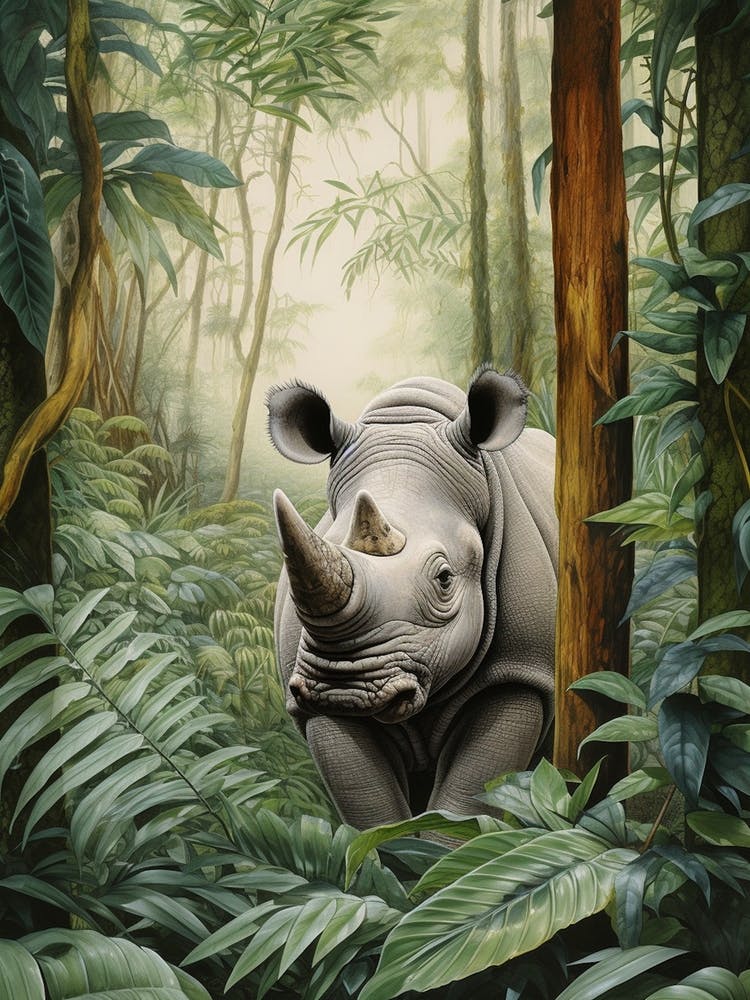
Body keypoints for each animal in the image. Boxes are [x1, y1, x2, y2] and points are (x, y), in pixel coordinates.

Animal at [268, 368, 557, 829]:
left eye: (444, 579)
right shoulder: (312, 702)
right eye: (324, 538)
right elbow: (374, 813)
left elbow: (463, 806)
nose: (345, 687)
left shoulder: (521, 672)